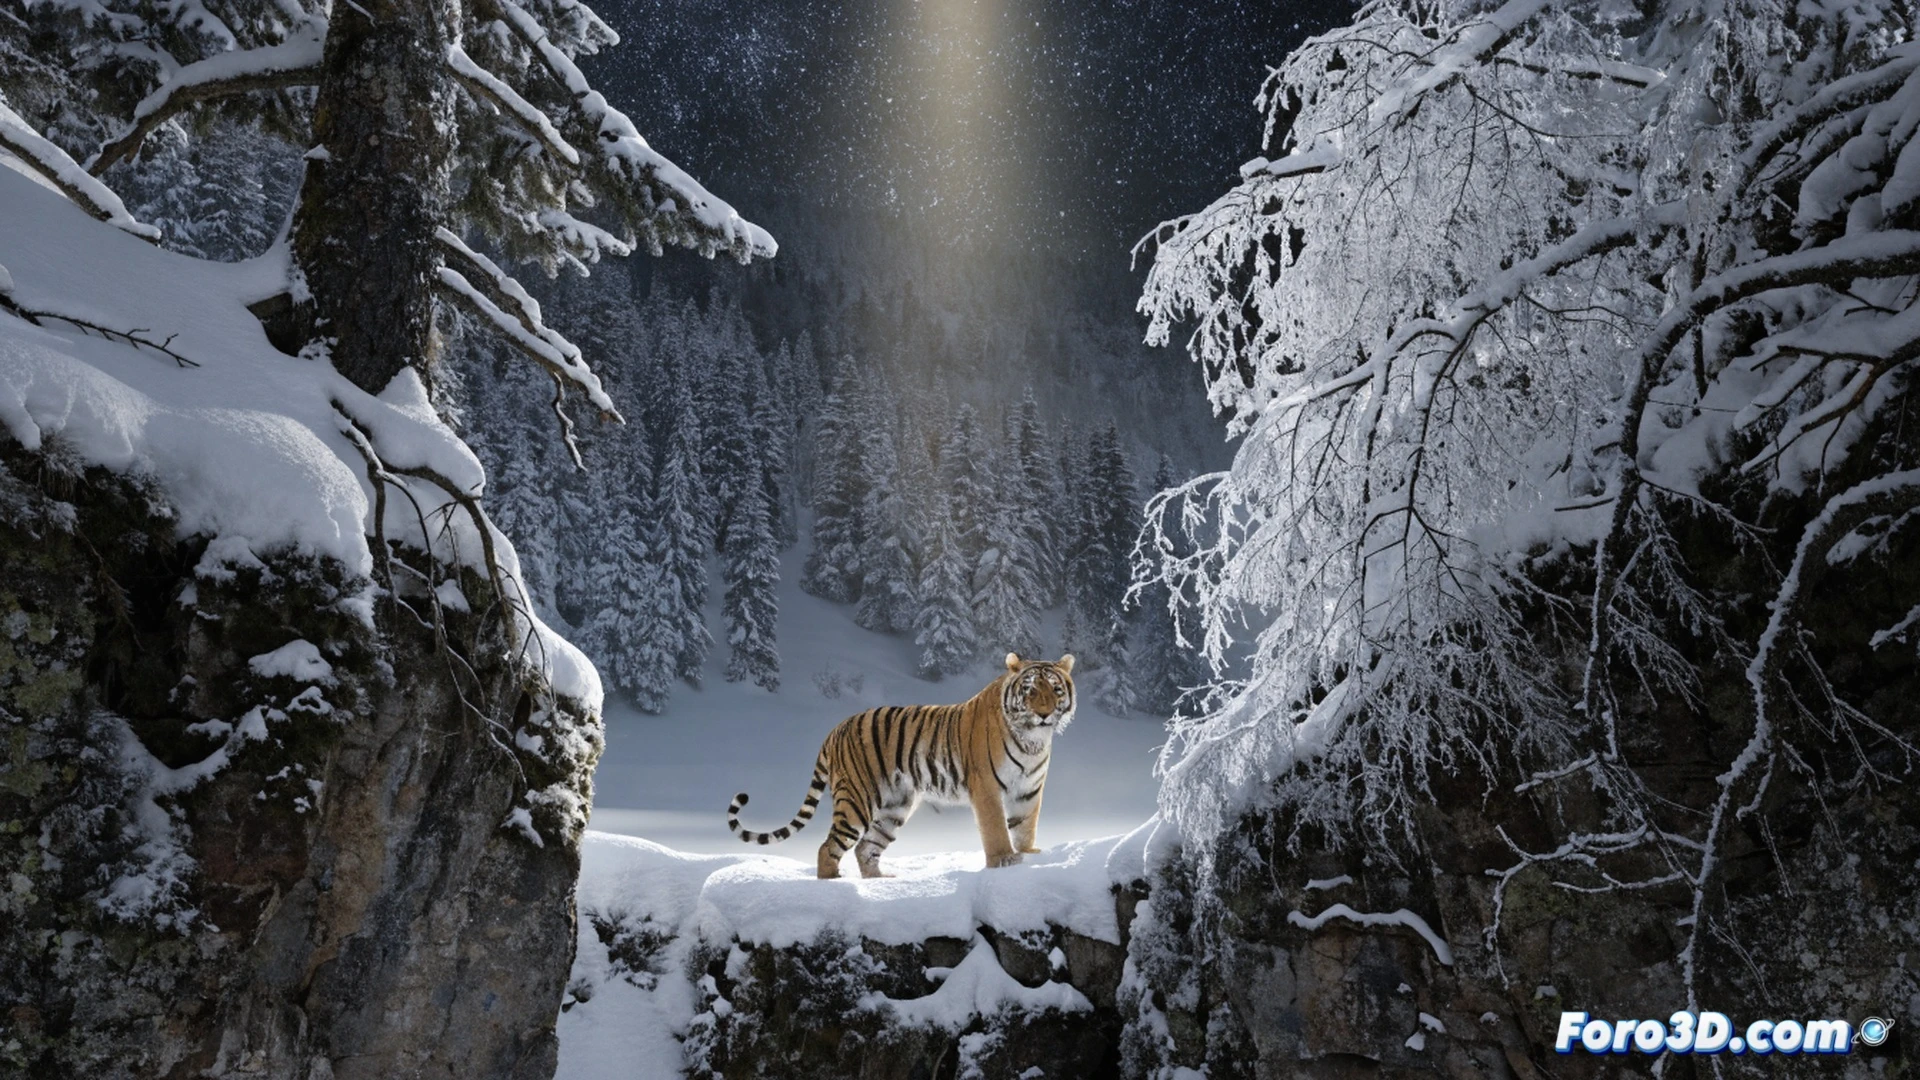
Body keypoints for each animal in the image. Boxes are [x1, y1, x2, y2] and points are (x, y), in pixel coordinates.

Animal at [727, 653, 1076, 879]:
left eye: (1055, 690)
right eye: (1030, 691)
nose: (1044, 714)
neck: (1032, 740)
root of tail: (836, 728)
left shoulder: (1028, 789)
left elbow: (1025, 827)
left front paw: (1029, 855)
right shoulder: (987, 787)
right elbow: (996, 829)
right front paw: (1004, 862)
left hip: (893, 808)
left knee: (865, 849)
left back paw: (881, 882)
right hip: (856, 800)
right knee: (828, 847)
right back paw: (835, 883)